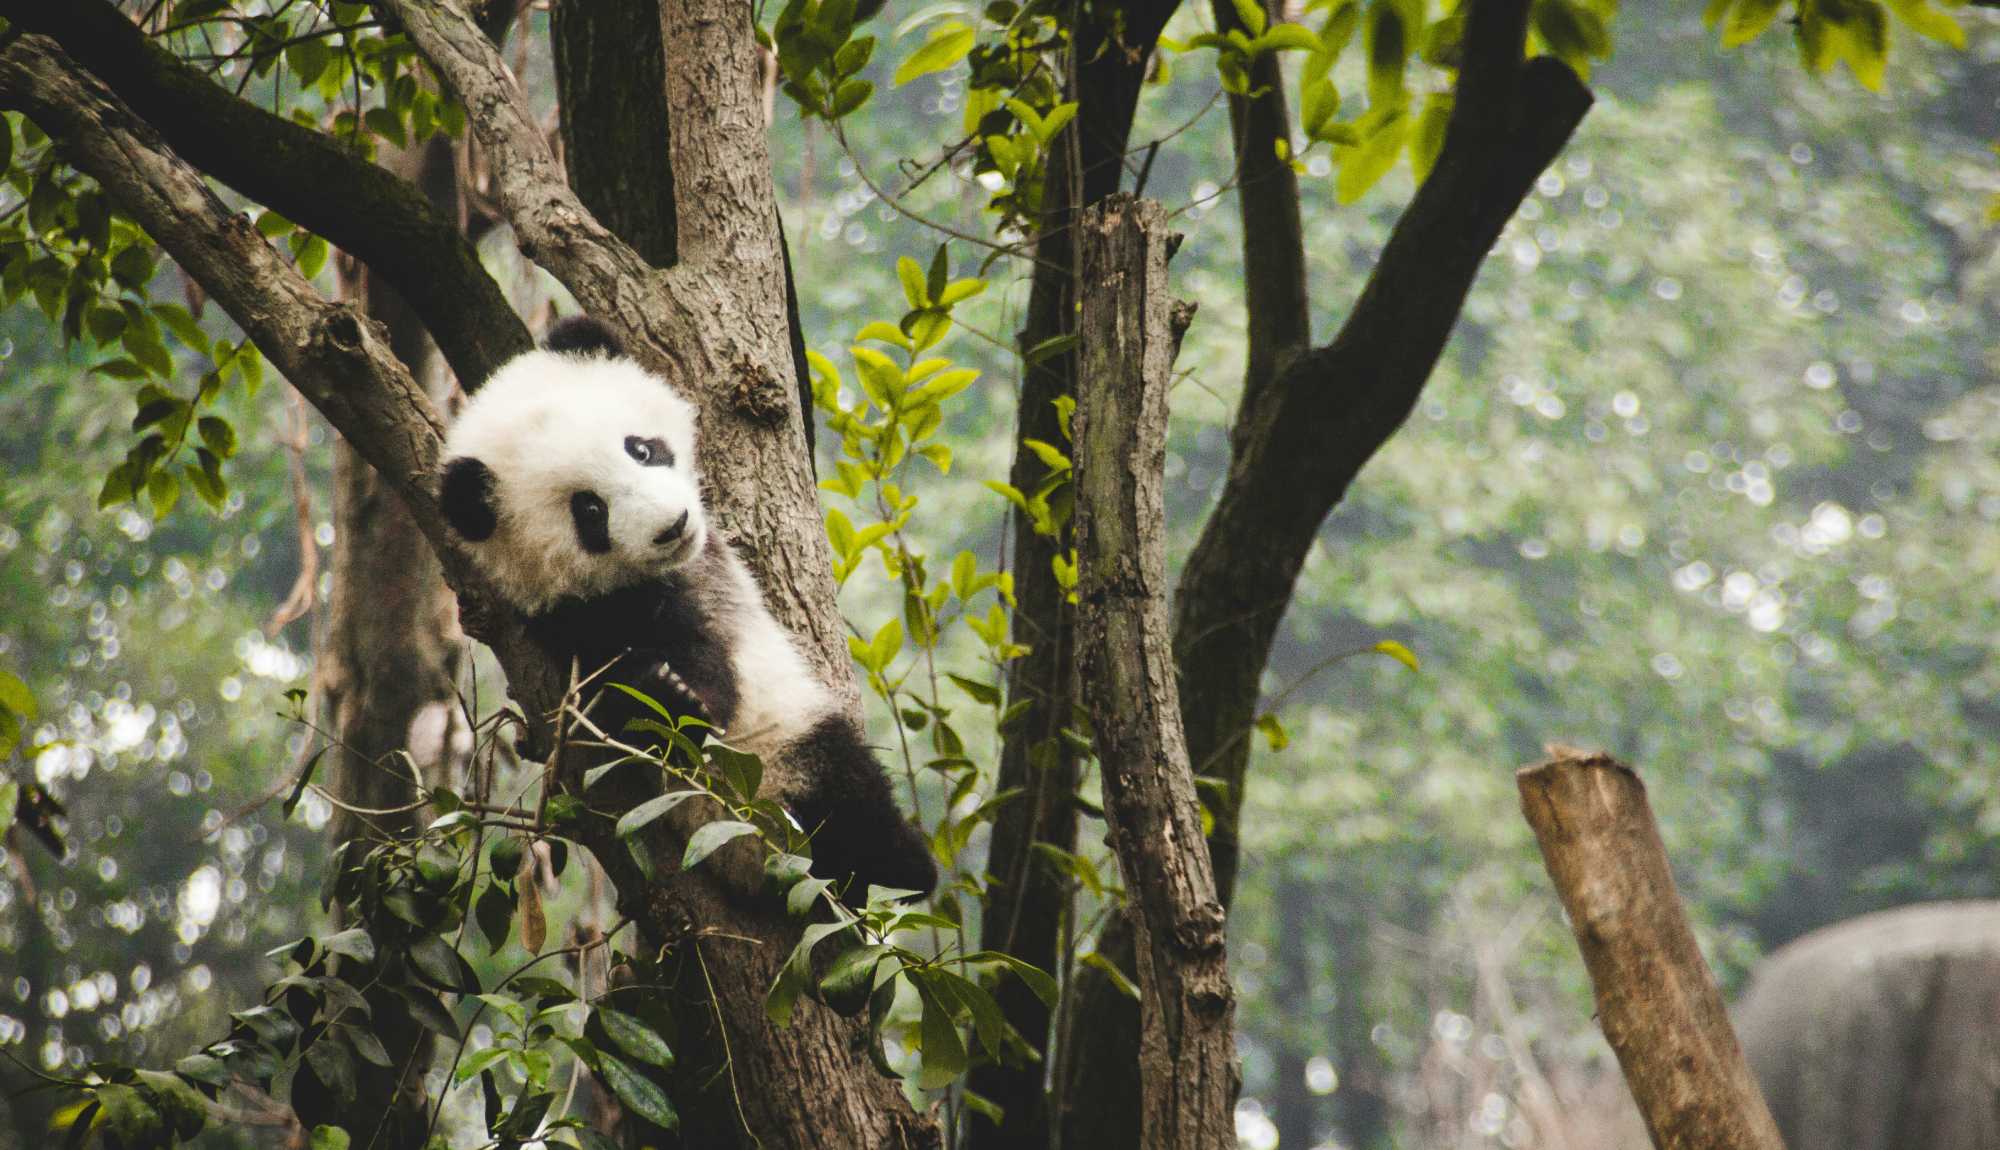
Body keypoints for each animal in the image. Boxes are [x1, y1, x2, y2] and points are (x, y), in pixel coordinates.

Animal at [437, 316, 937, 899]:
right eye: (589, 510)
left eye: (640, 449)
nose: (672, 526)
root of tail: (755, 852)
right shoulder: (574, 617)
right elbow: (646, 692)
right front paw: (669, 691)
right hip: (784, 753)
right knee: (850, 793)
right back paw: (907, 865)